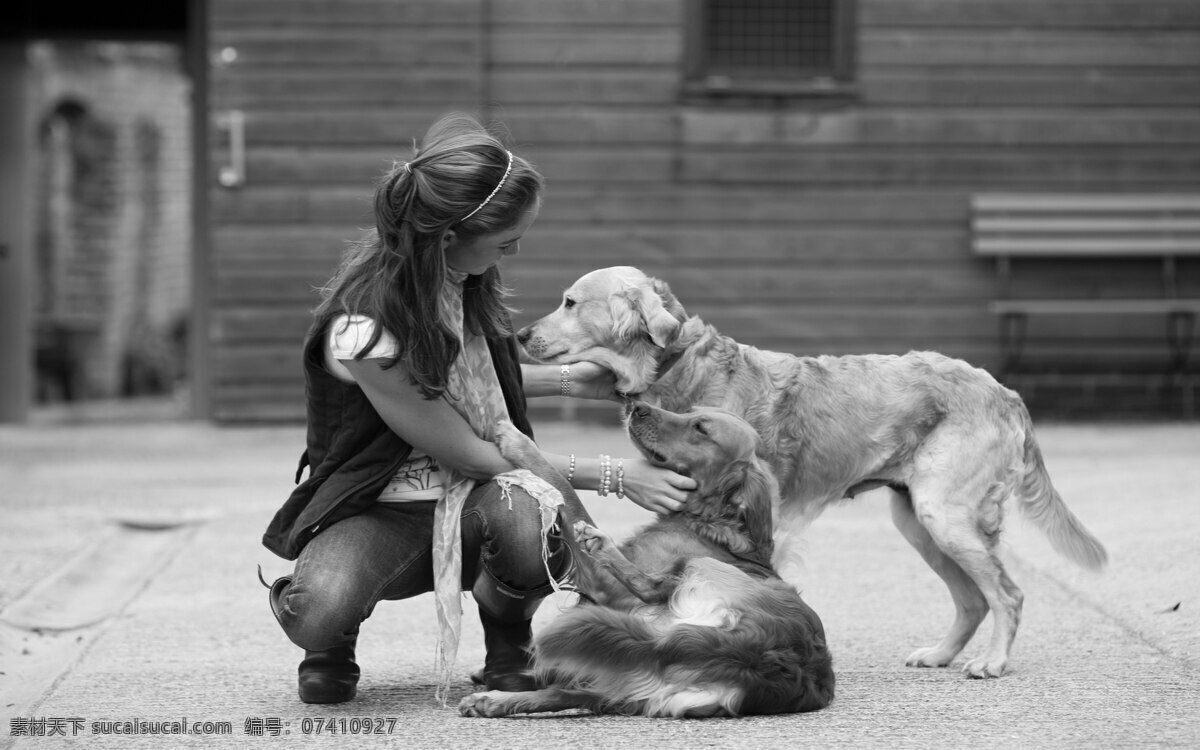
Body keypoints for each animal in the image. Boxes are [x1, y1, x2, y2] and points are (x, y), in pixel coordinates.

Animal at [458, 403, 835, 720]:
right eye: (692, 411)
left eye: (700, 428)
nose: (637, 406)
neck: (709, 520)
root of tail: (758, 653)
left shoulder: (607, 589)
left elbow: (563, 486)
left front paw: (518, 442)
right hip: (633, 684)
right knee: (567, 693)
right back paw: (493, 700)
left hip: (693, 569)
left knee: (648, 586)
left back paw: (601, 544)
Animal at [516, 265, 1104, 676]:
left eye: (569, 302)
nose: (519, 336)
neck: (678, 364)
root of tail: (1004, 390)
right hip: (918, 522)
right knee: (973, 599)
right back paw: (940, 654)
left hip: (944, 517)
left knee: (1007, 594)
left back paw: (993, 662)